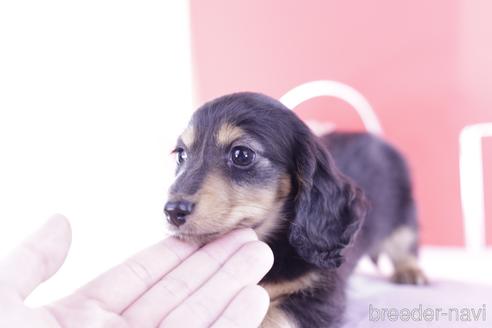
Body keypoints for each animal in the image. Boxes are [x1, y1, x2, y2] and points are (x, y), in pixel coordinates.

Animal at [164, 93, 426, 328]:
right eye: (181, 154)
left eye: (242, 154)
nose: (172, 212)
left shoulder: (319, 296)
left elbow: (274, 316)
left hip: (404, 215)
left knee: (405, 243)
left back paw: (410, 270)